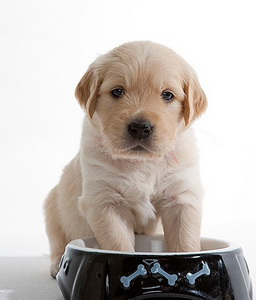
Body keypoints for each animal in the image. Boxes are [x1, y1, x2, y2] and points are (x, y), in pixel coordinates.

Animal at [44, 41, 208, 278]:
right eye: (117, 91)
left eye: (168, 95)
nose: (140, 128)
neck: (142, 162)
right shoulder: (105, 201)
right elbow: (118, 244)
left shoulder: (181, 197)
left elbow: (185, 240)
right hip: (53, 209)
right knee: (58, 242)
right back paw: (57, 263)